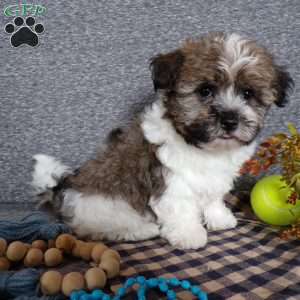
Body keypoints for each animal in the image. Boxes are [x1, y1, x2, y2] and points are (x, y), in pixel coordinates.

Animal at [32, 32, 292, 248]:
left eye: (248, 94)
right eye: (205, 91)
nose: (229, 120)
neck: (202, 147)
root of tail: (64, 190)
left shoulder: (215, 178)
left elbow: (212, 197)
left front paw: (219, 218)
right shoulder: (170, 179)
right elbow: (181, 207)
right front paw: (189, 235)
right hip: (104, 206)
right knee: (100, 228)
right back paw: (141, 230)